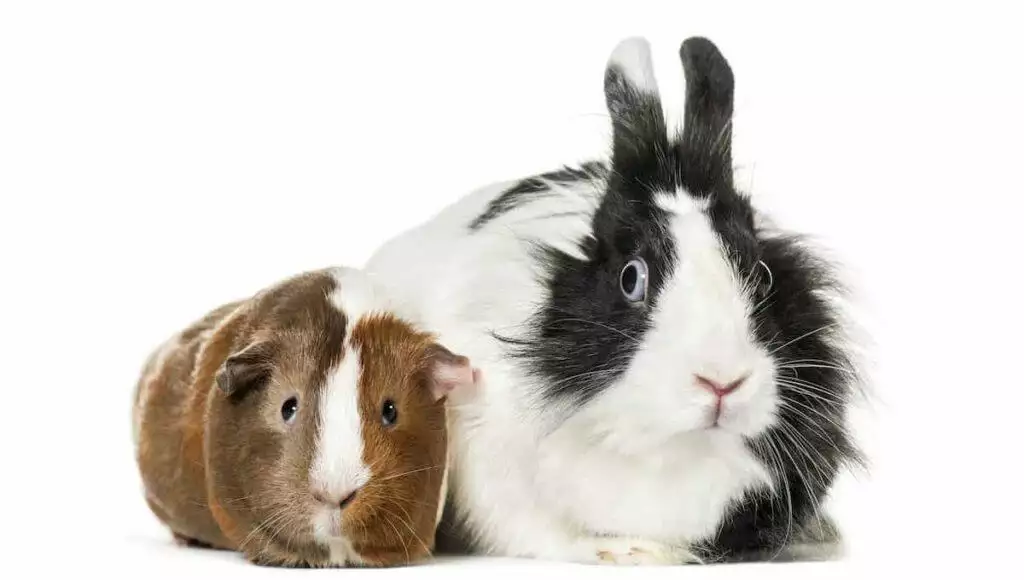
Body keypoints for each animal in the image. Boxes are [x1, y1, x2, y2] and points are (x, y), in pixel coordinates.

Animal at [363, 35, 863, 565]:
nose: (722, 382)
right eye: (631, 277)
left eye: (762, 275)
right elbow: (537, 531)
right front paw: (625, 552)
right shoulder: (491, 464)